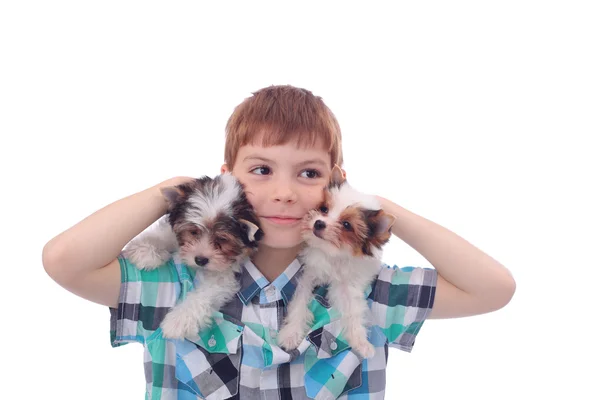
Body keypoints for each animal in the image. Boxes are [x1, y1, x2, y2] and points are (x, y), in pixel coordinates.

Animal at [123, 173, 262, 340]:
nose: (200, 260)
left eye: (222, 239)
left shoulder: (227, 270)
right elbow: (167, 235)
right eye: (193, 232)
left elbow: (208, 291)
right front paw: (144, 249)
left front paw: (178, 320)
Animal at [278, 164, 396, 358]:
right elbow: (300, 300)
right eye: (324, 209)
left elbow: (354, 309)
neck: (333, 255)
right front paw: (291, 334)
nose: (318, 223)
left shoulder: (349, 283)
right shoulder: (309, 273)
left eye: (347, 225)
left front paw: (360, 341)